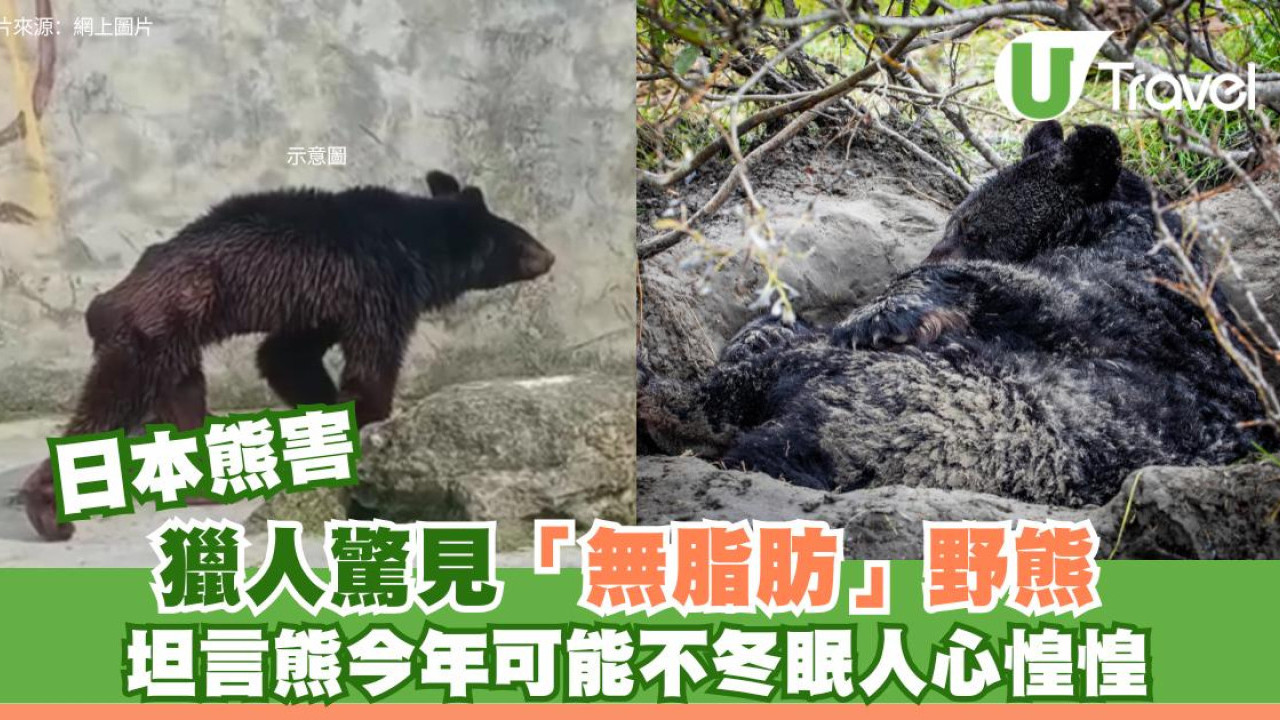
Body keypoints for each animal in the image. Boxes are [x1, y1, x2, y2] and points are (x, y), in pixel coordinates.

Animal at [22, 171, 555, 541]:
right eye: (522, 241)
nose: (550, 257)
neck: (418, 245)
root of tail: (104, 301)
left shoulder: (318, 299)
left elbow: (285, 355)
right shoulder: (375, 283)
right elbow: (371, 361)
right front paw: (366, 428)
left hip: (177, 344)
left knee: (185, 399)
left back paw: (203, 483)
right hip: (154, 329)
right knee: (109, 406)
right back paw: (48, 510)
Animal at [638, 122, 1263, 506]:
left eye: (970, 227)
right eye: (954, 218)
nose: (927, 253)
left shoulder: (1130, 299)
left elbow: (1042, 295)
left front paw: (878, 314)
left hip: (937, 412)